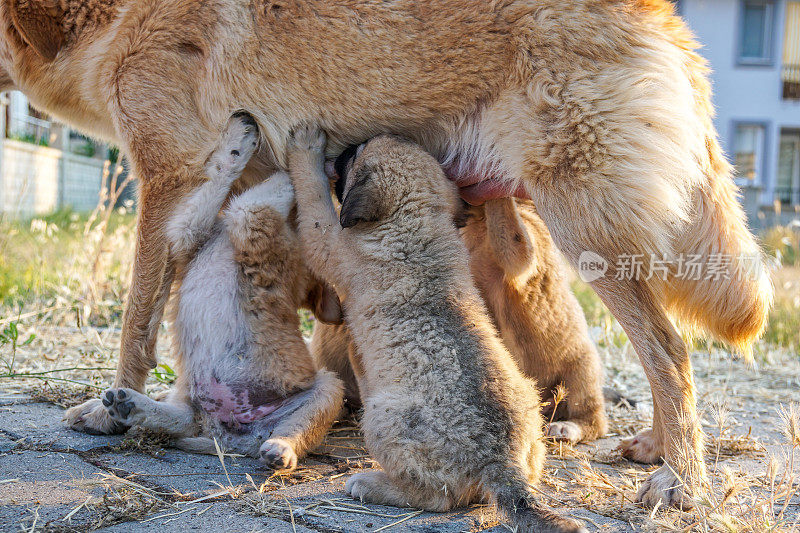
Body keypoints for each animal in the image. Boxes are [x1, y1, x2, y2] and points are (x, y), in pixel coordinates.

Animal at [97, 116, 344, 470]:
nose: (246, 115)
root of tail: (230, 436)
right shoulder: (188, 234)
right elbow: (219, 182)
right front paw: (238, 142)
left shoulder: (251, 218)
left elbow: (273, 185)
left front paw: (308, 153)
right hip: (190, 393)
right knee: (185, 419)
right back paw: (132, 406)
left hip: (328, 388)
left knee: (297, 429)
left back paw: (281, 449)